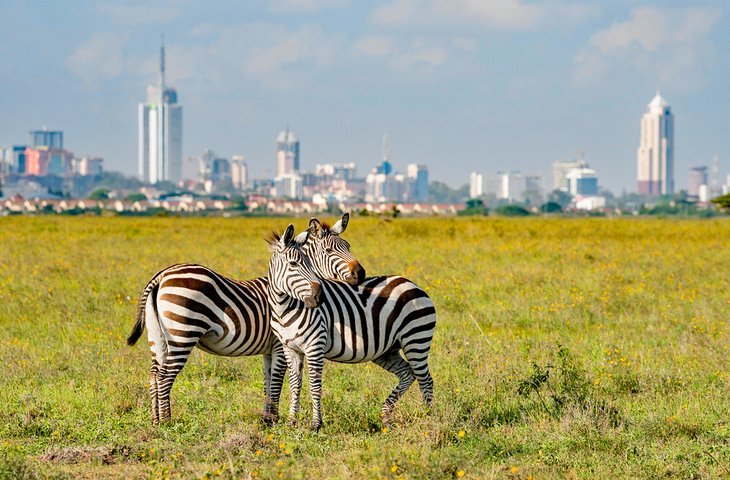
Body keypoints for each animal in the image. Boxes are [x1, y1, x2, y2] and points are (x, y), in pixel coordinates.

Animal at [126, 213, 362, 424]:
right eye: (330, 250)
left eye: (348, 246)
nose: (360, 273)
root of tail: (161, 275)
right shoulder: (279, 344)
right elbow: (277, 381)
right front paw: (273, 419)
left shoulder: (269, 349)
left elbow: (268, 381)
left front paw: (267, 419)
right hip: (183, 333)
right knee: (165, 376)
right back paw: (167, 421)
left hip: (157, 336)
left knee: (154, 374)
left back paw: (155, 420)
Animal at [268, 225, 438, 432]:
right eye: (293, 264)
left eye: (309, 263)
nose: (319, 297)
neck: (284, 308)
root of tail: (413, 284)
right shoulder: (290, 348)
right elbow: (294, 385)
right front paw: (292, 422)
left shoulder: (315, 346)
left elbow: (314, 386)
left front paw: (316, 424)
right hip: (387, 350)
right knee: (408, 374)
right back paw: (386, 416)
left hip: (416, 339)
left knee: (425, 380)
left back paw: (429, 419)